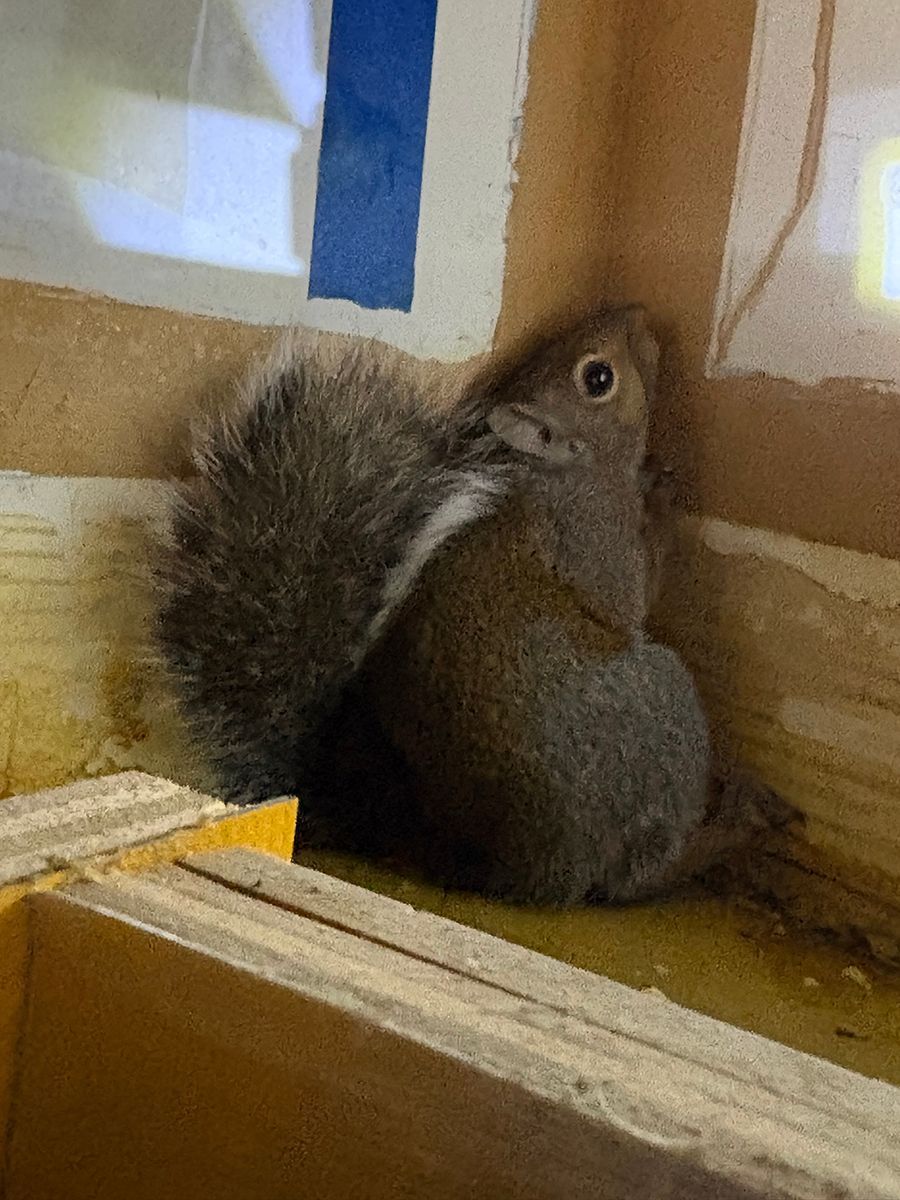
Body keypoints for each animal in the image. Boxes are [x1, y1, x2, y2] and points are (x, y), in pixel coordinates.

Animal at [154, 309, 796, 904]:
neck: (564, 467)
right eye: (598, 377)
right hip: (664, 716)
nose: (640, 315)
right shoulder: (591, 538)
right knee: (637, 877)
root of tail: (534, 872)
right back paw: (735, 823)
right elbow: (635, 595)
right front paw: (660, 501)